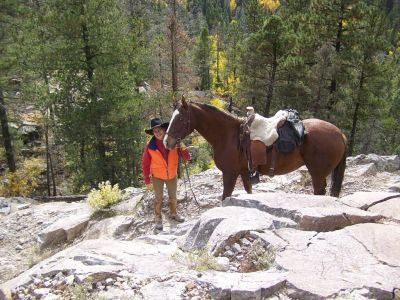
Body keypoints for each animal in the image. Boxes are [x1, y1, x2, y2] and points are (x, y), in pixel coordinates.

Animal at [164, 99, 346, 200]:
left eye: (180, 119)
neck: (229, 135)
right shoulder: (244, 172)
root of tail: (340, 133)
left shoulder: (230, 174)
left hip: (317, 173)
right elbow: (249, 191)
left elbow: (225, 196)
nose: (167, 142)